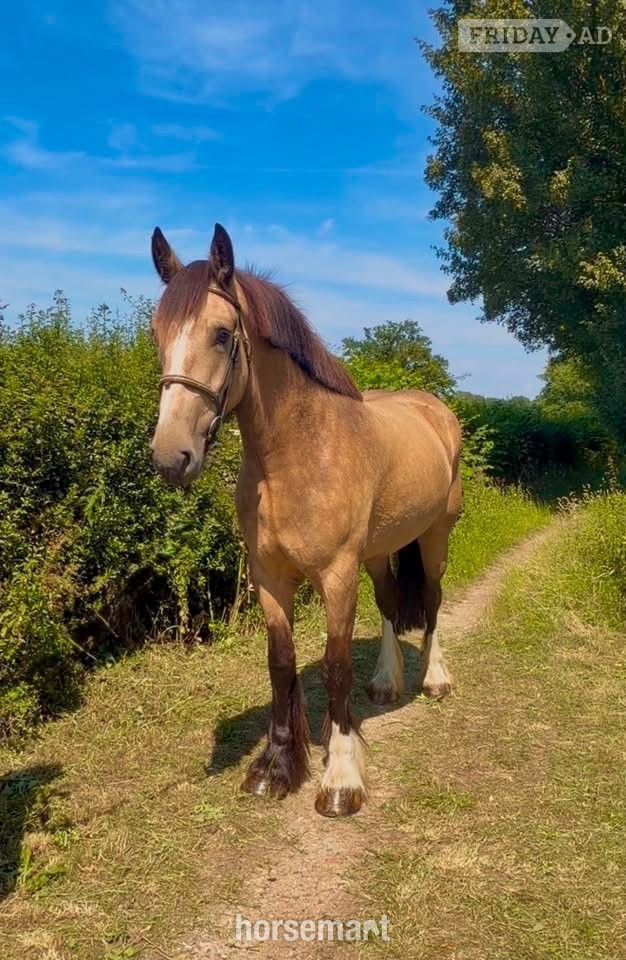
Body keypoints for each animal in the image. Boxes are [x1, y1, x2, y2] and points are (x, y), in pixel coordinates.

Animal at [150, 223, 462, 818]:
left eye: (222, 335)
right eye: (157, 335)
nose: (170, 457)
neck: (298, 455)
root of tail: (434, 409)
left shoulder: (336, 577)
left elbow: (335, 666)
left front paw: (340, 780)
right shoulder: (271, 579)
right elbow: (281, 663)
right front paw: (274, 768)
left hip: (435, 537)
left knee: (432, 601)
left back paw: (434, 680)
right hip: (378, 553)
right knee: (392, 605)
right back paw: (386, 683)